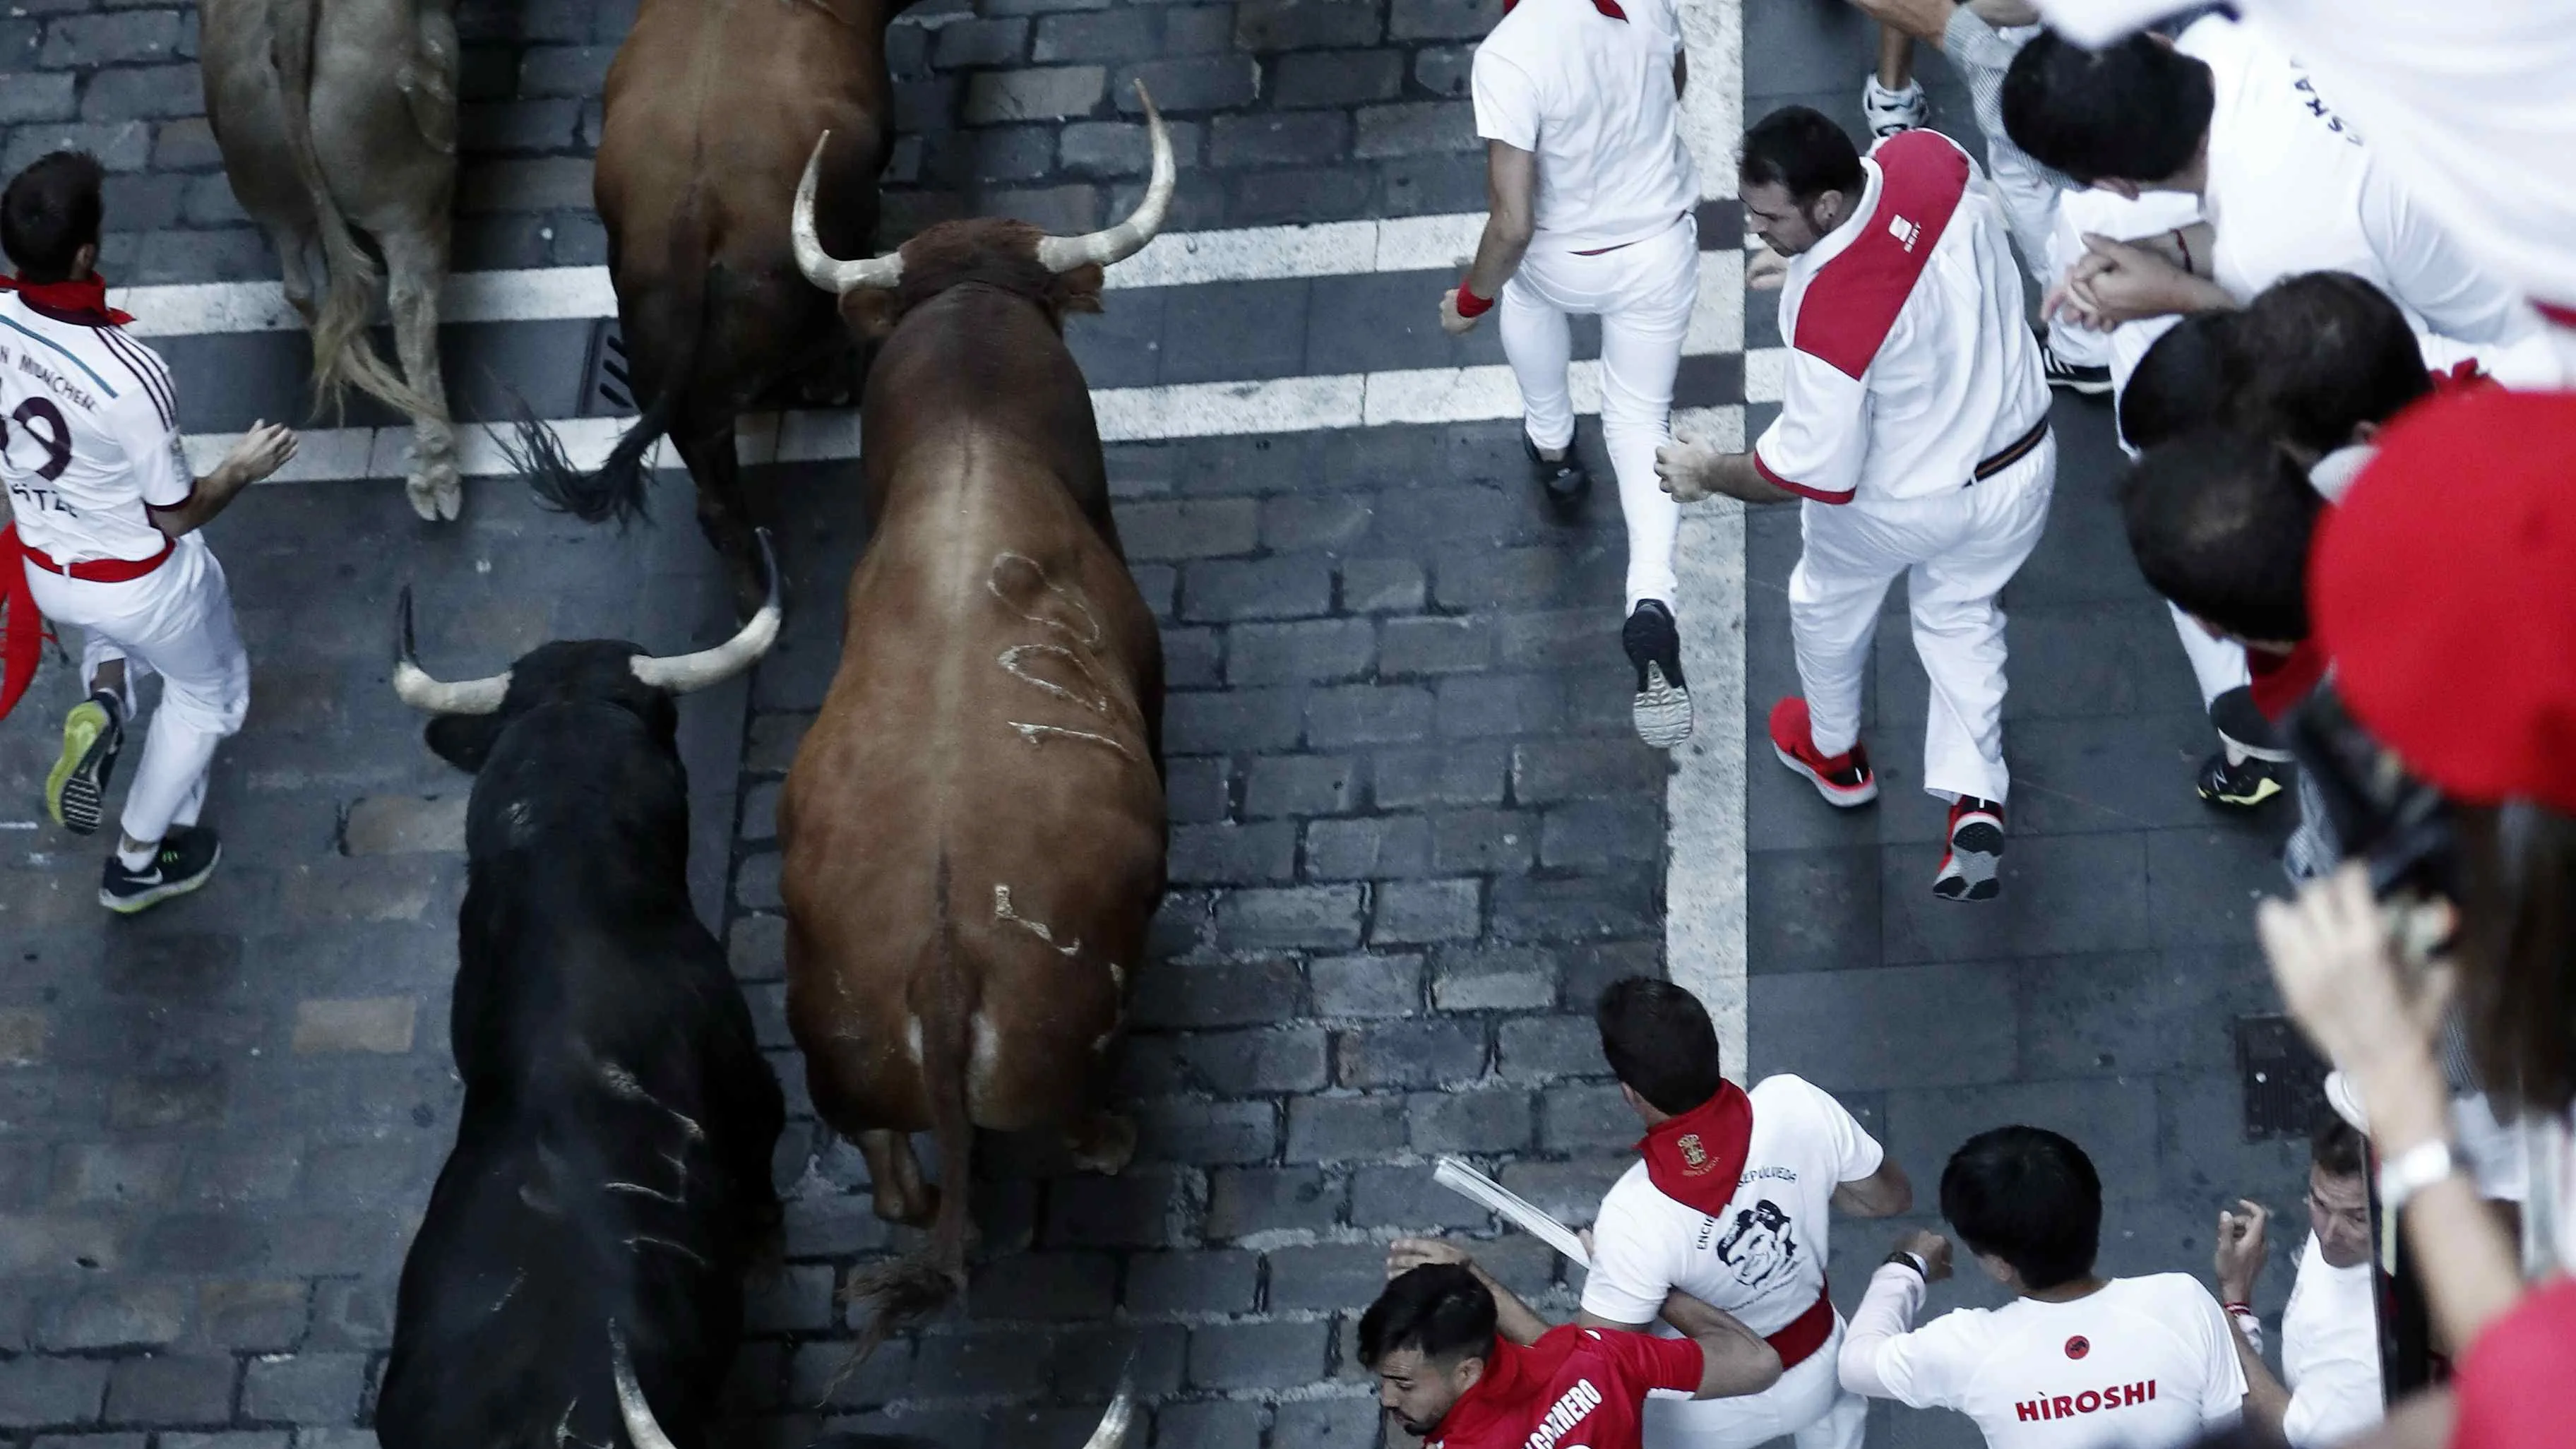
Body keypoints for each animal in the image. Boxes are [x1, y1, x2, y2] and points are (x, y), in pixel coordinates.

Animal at [773, 88, 1179, 1340]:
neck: (969, 429)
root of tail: (944, 973)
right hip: (1073, 1033)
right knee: (1073, 1117)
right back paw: (1113, 1136)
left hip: (840, 1059)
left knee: (893, 1175)